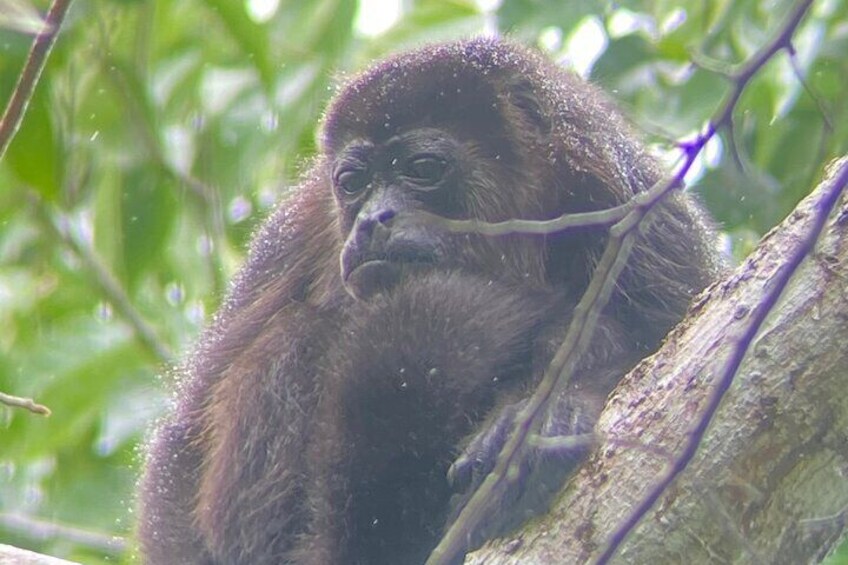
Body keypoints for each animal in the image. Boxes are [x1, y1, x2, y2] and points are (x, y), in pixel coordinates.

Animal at [139, 37, 724, 560]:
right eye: (353, 182)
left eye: (422, 170)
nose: (372, 220)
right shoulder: (295, 230)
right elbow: (182, 449)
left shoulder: (630, 205)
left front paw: (543, 414)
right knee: (291, 338)